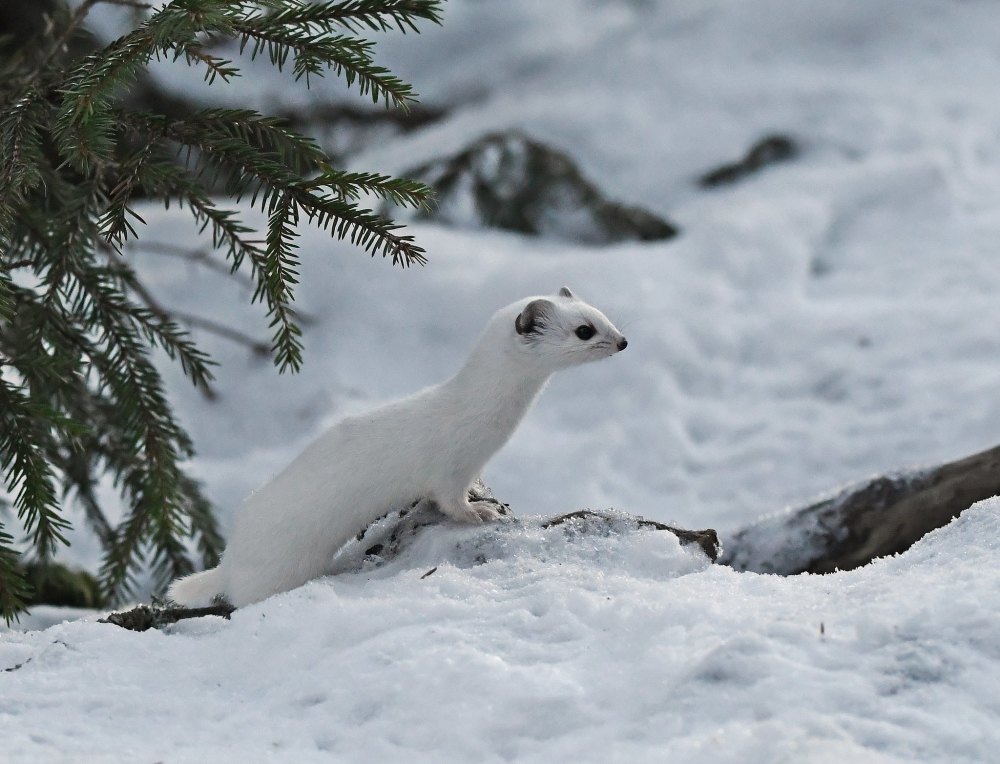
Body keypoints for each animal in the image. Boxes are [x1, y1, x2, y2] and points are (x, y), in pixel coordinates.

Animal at [168, 288, 628, 608]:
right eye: (585, 330)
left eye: (602, 314)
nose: (623, 341)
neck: (487, 417)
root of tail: (230, 561)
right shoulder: (452, 464)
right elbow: (449, 500)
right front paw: (481, 512)